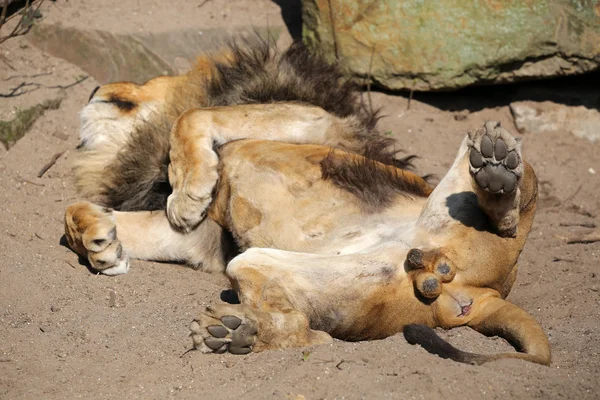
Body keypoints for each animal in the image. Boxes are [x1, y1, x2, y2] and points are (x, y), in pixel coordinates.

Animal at [63, 38, 552, 366]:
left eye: (144, 80)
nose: (92, 91)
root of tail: (486, 293)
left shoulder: (311, 119)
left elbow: (191, 115)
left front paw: (186, 192)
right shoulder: (207, 240)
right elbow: (77, 211)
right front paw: (100, 243)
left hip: (461, 194)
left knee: (520, 198)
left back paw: (498, 176)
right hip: (272, 267)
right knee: (311, 334)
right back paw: (236, 334)